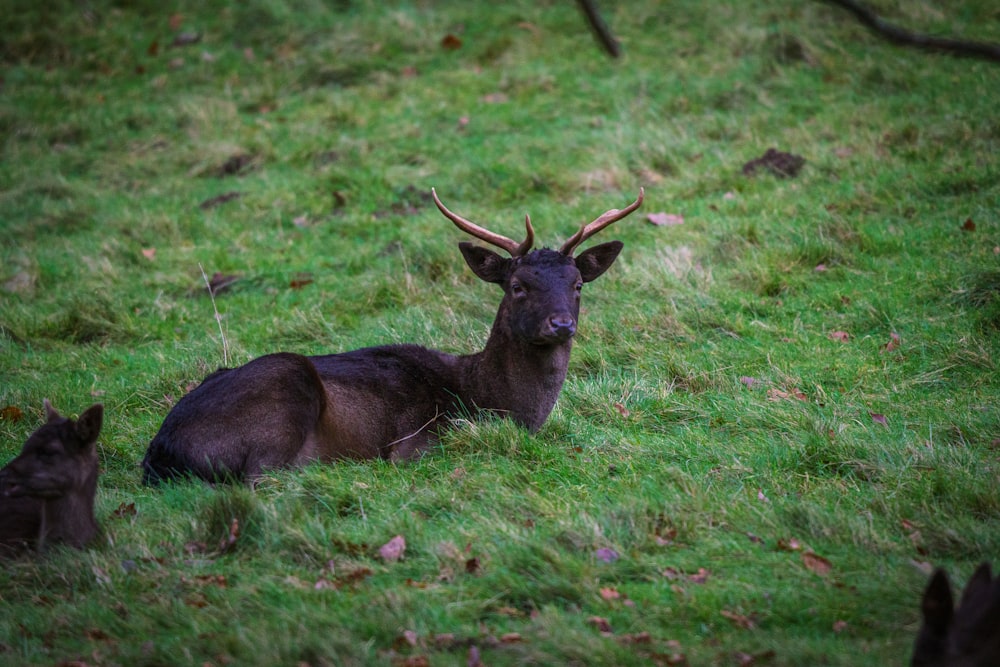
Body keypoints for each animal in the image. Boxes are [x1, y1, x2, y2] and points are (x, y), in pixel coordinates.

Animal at [141, 188, 644, 486]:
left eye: (577, 285)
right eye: (518, 286)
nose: (561, 324)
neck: (486, 397)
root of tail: (160, 452)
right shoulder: (420, 439)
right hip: (283, 394)